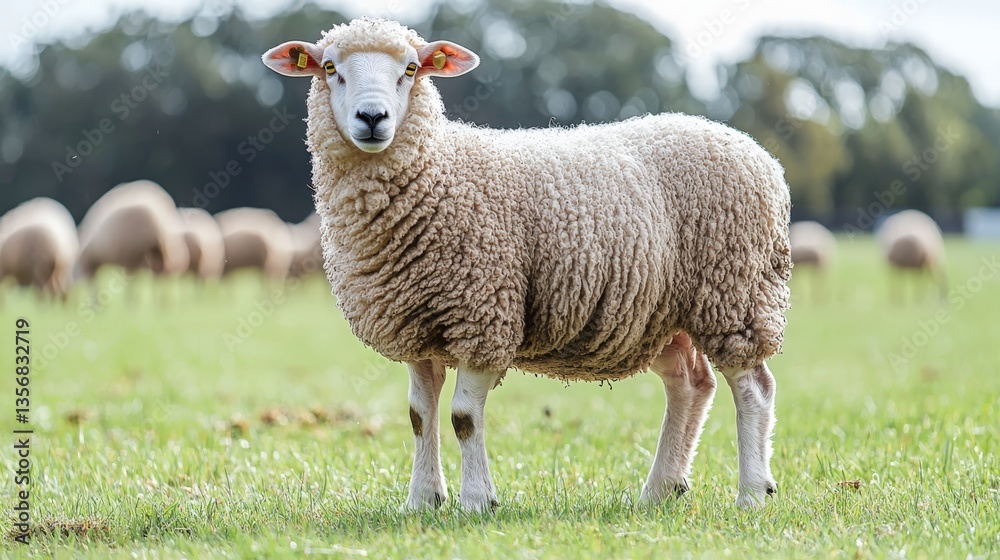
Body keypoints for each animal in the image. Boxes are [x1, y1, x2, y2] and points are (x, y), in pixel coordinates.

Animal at [263, 17, 791, 512]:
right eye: (330, 68)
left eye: (411, 69)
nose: (372, 117)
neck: (437, 170)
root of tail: (757, 151)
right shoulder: (416, 322)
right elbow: (418, 414)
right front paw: (422, 500)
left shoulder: (484, 314)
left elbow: (463, 417)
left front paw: (476, 501)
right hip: (659, 314)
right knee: (690, 384)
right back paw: (660, 490)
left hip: (735, 293)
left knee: (753, 387)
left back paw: (751, 492)